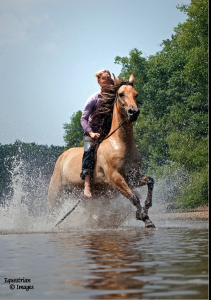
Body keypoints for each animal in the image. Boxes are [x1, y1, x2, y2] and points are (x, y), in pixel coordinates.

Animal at [48, 74, 155, 227]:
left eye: (136, 94)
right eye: (121, 94)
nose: (133, 112)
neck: (121, 144)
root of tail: (62, 156)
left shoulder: (133, 176)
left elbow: (150, 181)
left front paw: (146, 210)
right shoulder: (115, 177)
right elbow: (133, 197)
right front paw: (144, 217)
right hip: (55, 193)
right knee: (51, 212)